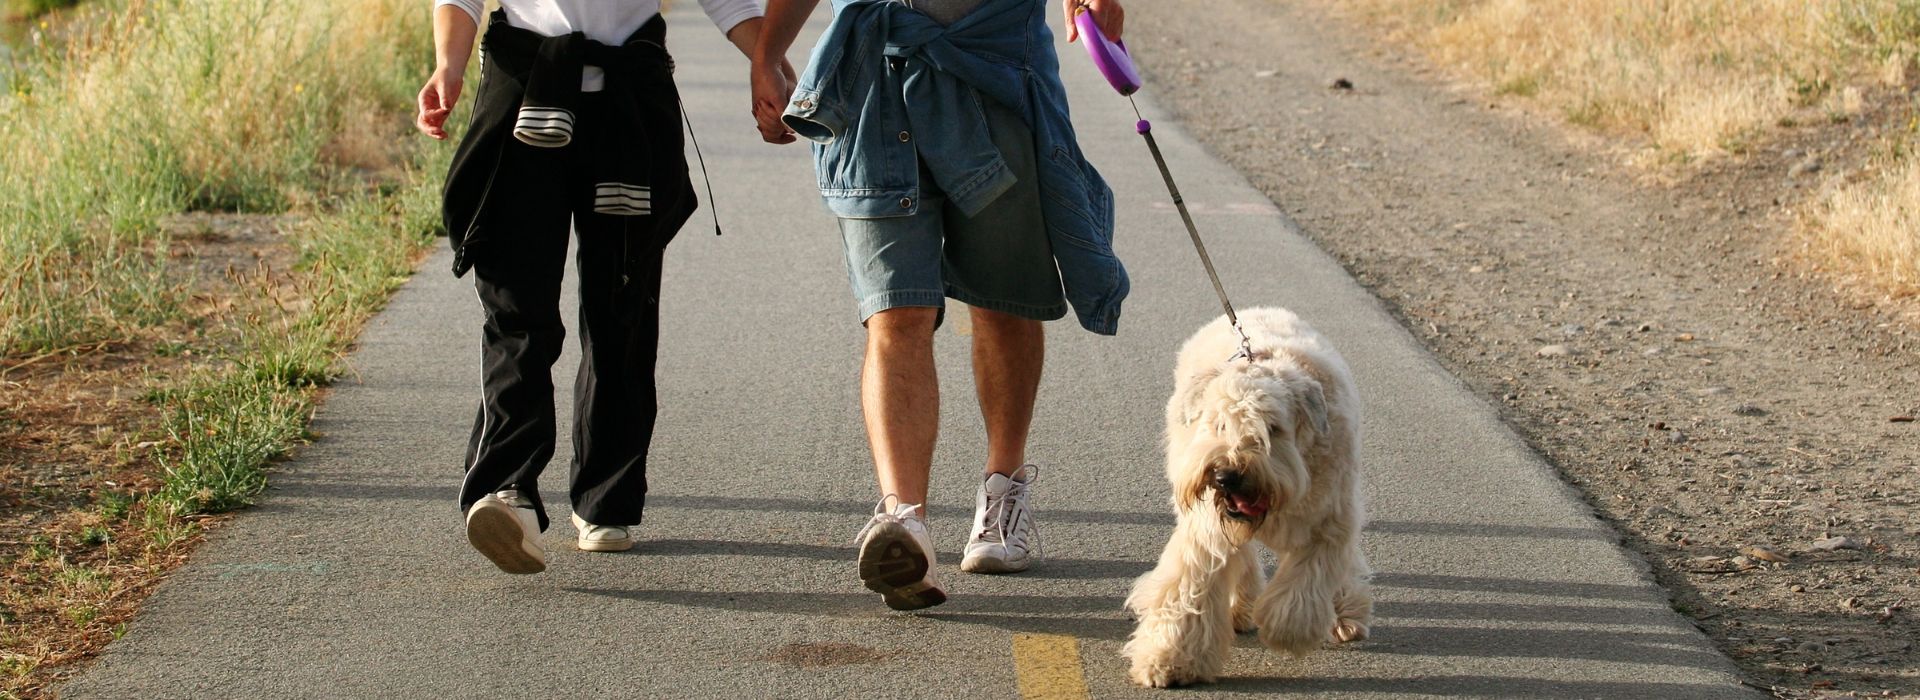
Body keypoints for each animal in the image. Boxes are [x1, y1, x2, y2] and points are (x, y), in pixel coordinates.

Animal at [1121, 306, 1374, 686]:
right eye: (1219, 423)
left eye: (1274, 428)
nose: (1227, 476)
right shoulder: (1207, 531)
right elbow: (1192, 587)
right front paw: (1170, 659)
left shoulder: (1328, 523)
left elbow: (1305, 584)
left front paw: (1287, 631)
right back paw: (1241, 609)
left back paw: (1344, 615)